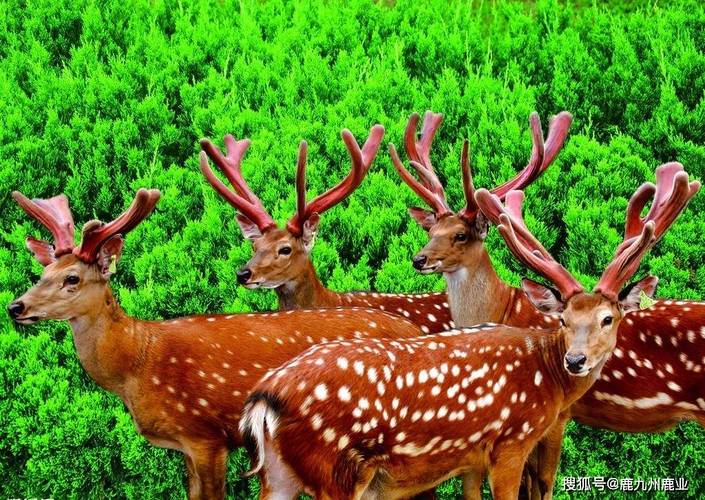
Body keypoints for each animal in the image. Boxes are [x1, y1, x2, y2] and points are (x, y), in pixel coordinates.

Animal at [6, 188, 424, 500]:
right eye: (43, 272)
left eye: (72, 278)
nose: (15, 306)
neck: (138, 363)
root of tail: (413, 329)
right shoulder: (186, 448)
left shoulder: (205, 435)